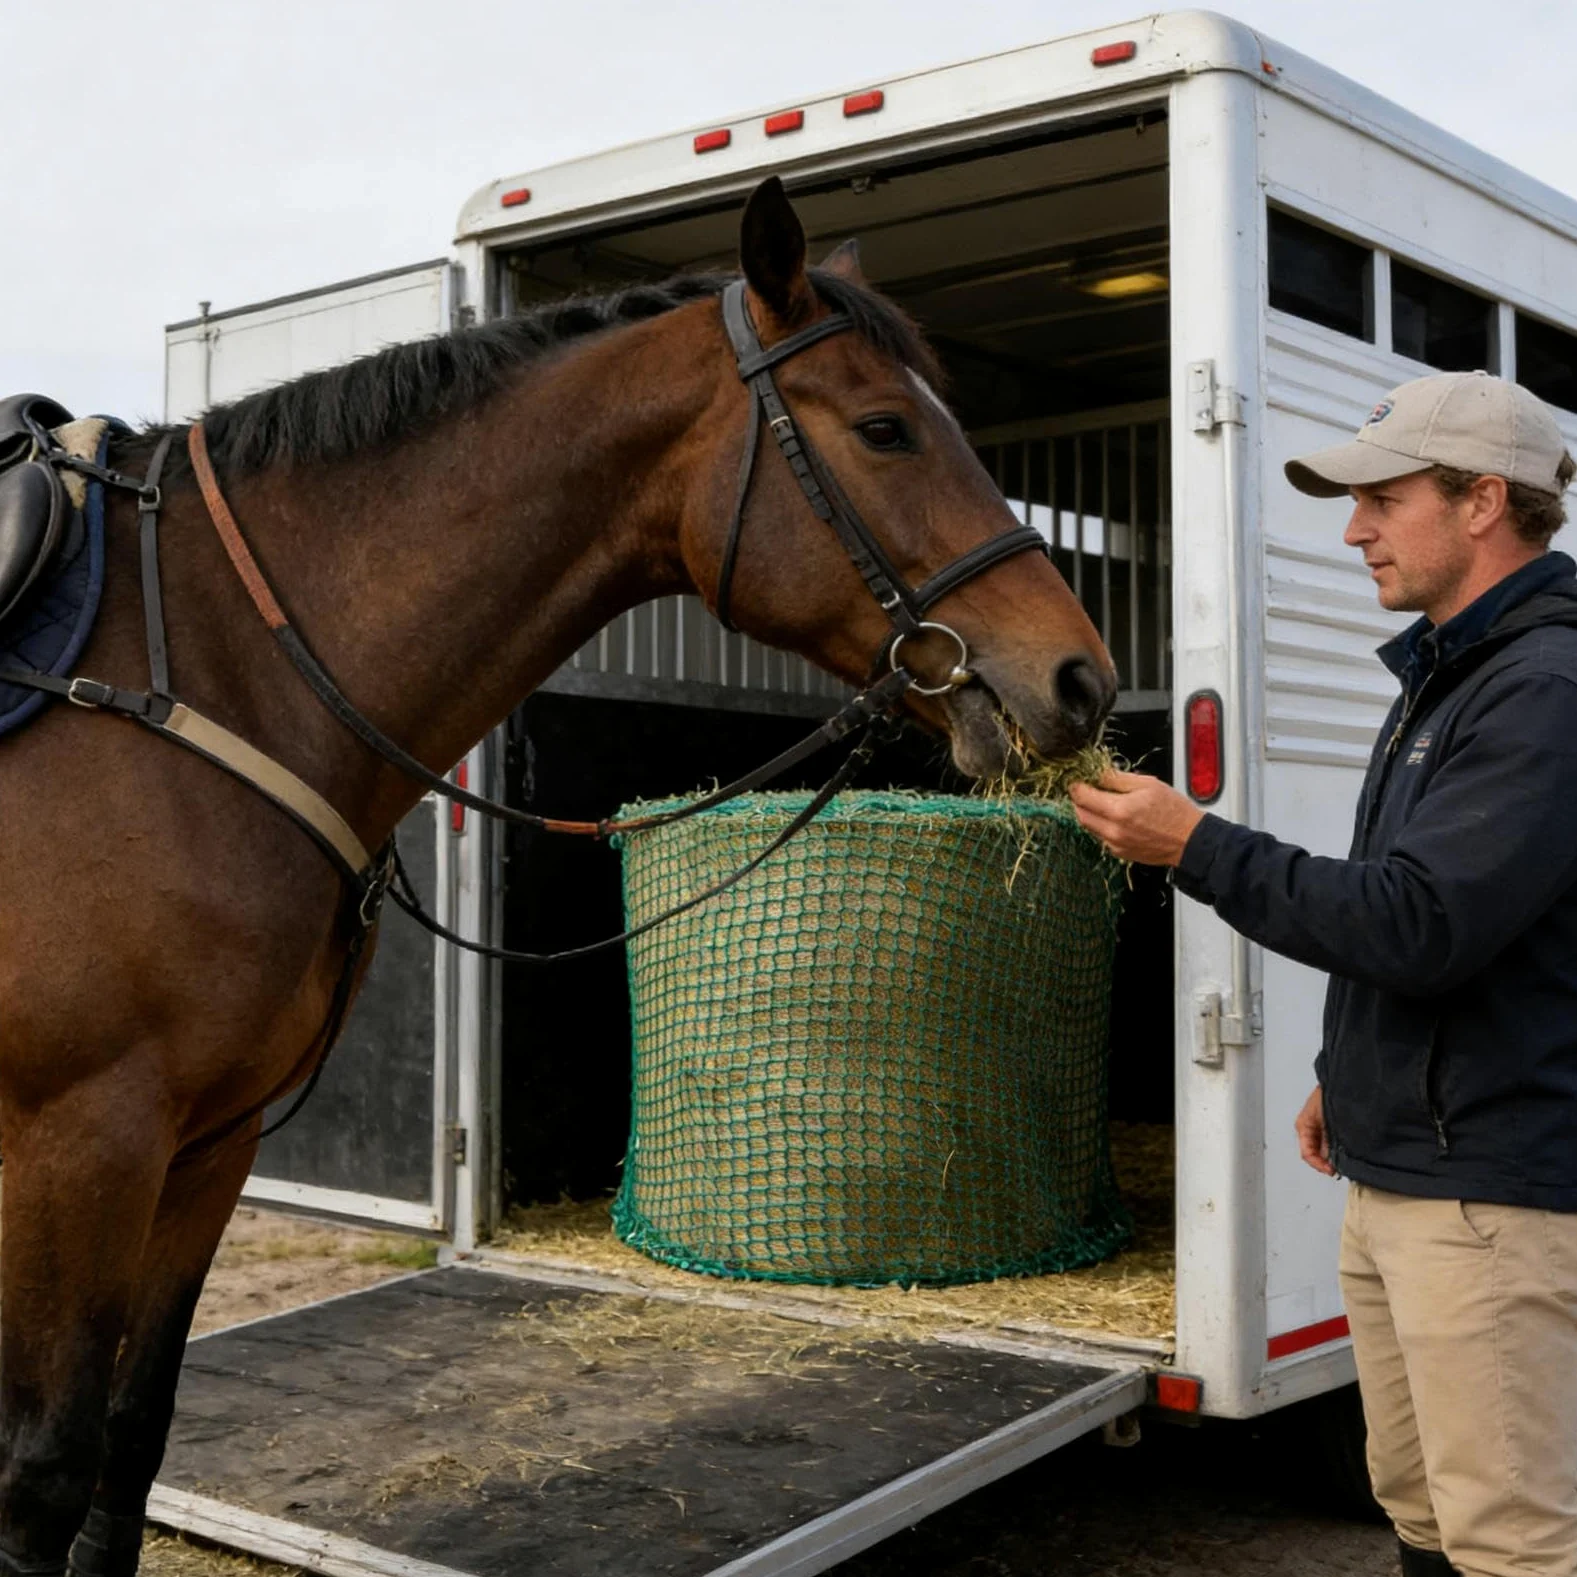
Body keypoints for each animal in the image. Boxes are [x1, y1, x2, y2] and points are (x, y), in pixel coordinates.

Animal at [0, 176, 1113, 1576]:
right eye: (883, 428)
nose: (1079, 677)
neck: (196, 665)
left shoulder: (206, 1142)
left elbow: (128, 1443)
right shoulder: (79, 1140)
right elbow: (45, 1471)